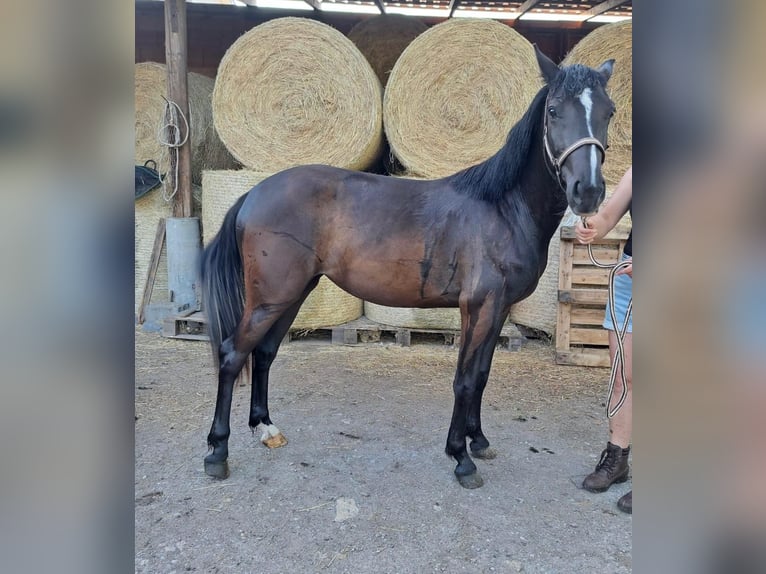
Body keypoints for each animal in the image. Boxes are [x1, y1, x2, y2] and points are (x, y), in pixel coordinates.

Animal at [200, 47, 616, 490]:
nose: (588, 192)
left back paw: (266, 428)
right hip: (270, 299)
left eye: (609, 111)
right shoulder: (479, 307)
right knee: (232, 354)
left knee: (263, 353)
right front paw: (461, 457)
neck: (502, 208)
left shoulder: (498, 309)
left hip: (292, 294)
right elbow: (465, 379)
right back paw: (217, 452)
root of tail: (254, 193)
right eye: (554, 110)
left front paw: (479, 441)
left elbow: (482, 374)